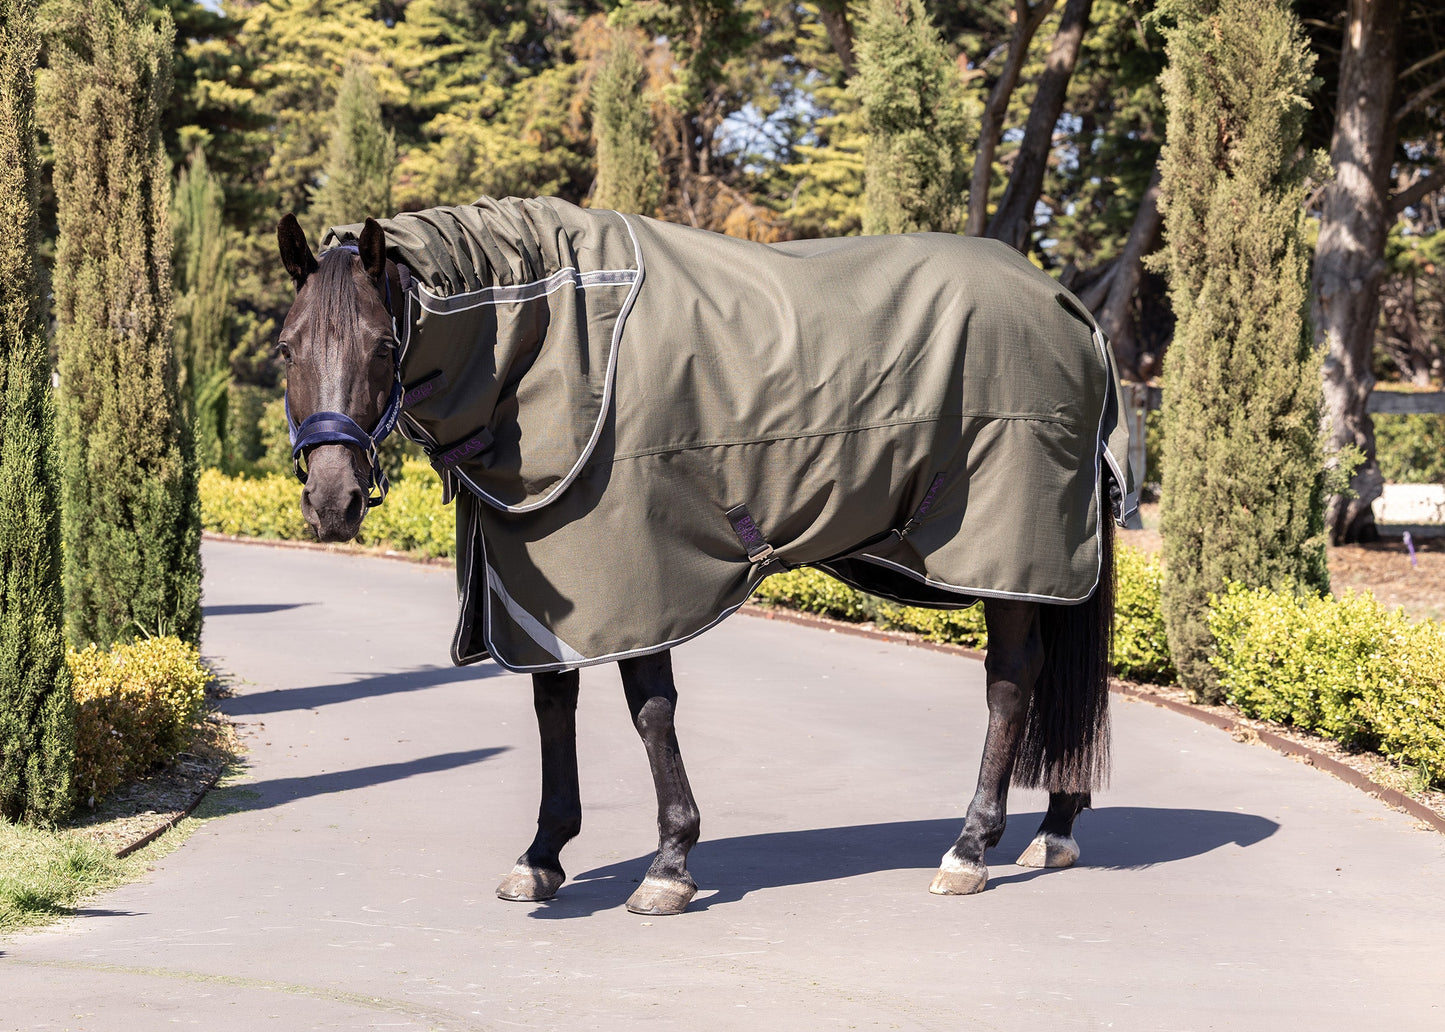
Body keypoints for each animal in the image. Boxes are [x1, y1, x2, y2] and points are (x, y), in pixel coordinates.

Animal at [274, 198, 1136, 916]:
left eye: (383, 345)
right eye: (285, 349)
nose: (331, 500)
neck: (554, 341)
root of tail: (1069, 310)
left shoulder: (643, 577)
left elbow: (650, 711)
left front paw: (669, 865)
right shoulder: (542, 588)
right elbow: (553, 706)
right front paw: (542, 855)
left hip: (1010, 552)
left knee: (1010, 683)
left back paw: (969, 848)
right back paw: (1052, 828)